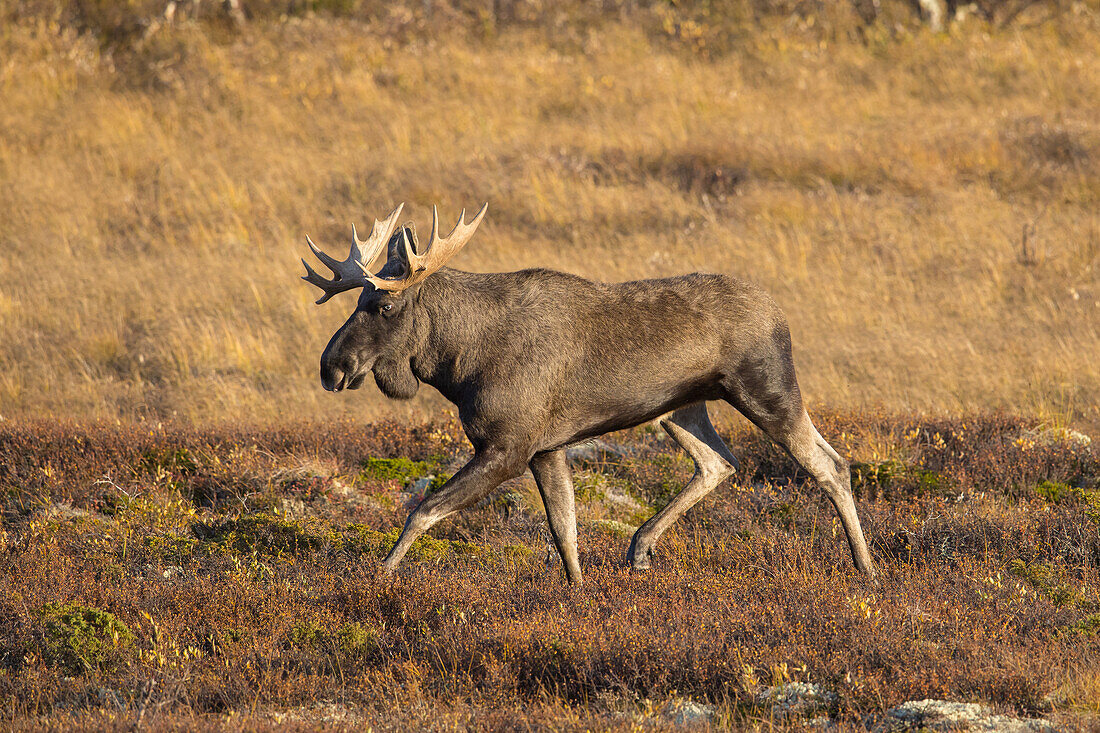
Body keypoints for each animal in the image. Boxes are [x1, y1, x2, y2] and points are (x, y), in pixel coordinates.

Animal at [301, 202, 875, 581]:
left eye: (384, 306)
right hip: (681, 410)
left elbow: (424, 510)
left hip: (767, 389)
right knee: (720, 462)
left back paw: (866, 568)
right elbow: (565, 531)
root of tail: (781, 314)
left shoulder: (507, 446)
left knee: (831, 465)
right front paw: (578, 595)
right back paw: (639, 548)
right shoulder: (546, 449)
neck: (455, 364)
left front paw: (378, 578)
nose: (332, 367)